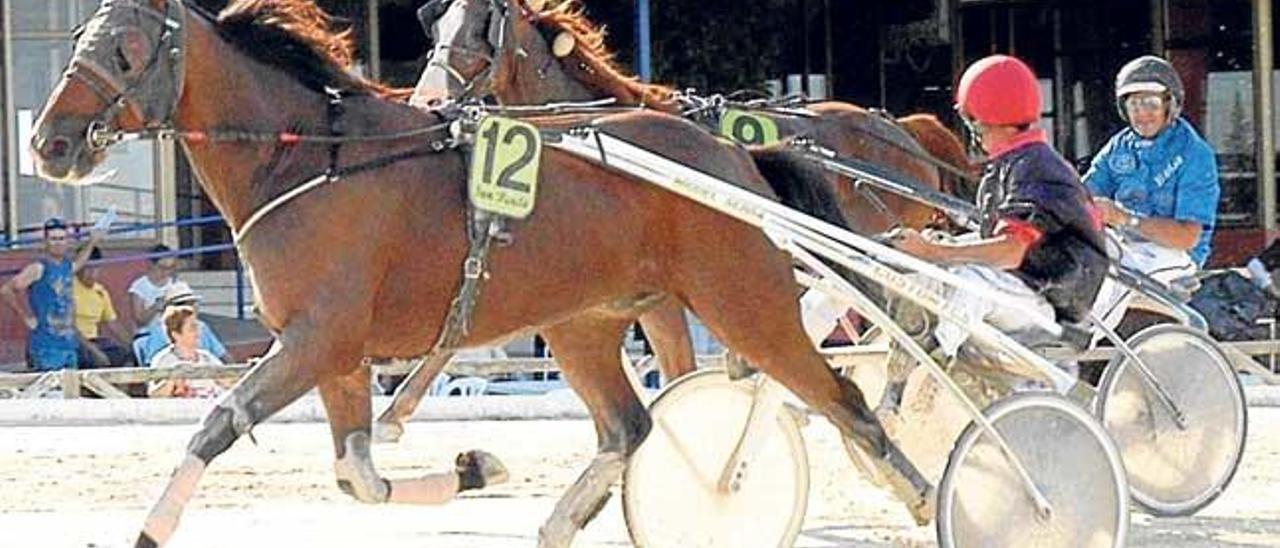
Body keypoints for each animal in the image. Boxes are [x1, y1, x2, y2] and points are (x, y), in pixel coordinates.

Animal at [30, 2, 931, 545]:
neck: (315, 162)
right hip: (583, 323)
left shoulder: (318, 339)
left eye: (126, 48)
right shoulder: (335, 353)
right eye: (73, 42)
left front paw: (148, 527)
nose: (47, 142)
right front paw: (474, 468)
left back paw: (924, 494)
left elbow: (219, 424)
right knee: (627, 428)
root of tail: (732, 155)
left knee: (844, 401)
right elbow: (358, 474)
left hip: (745, 302)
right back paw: (561, 522)